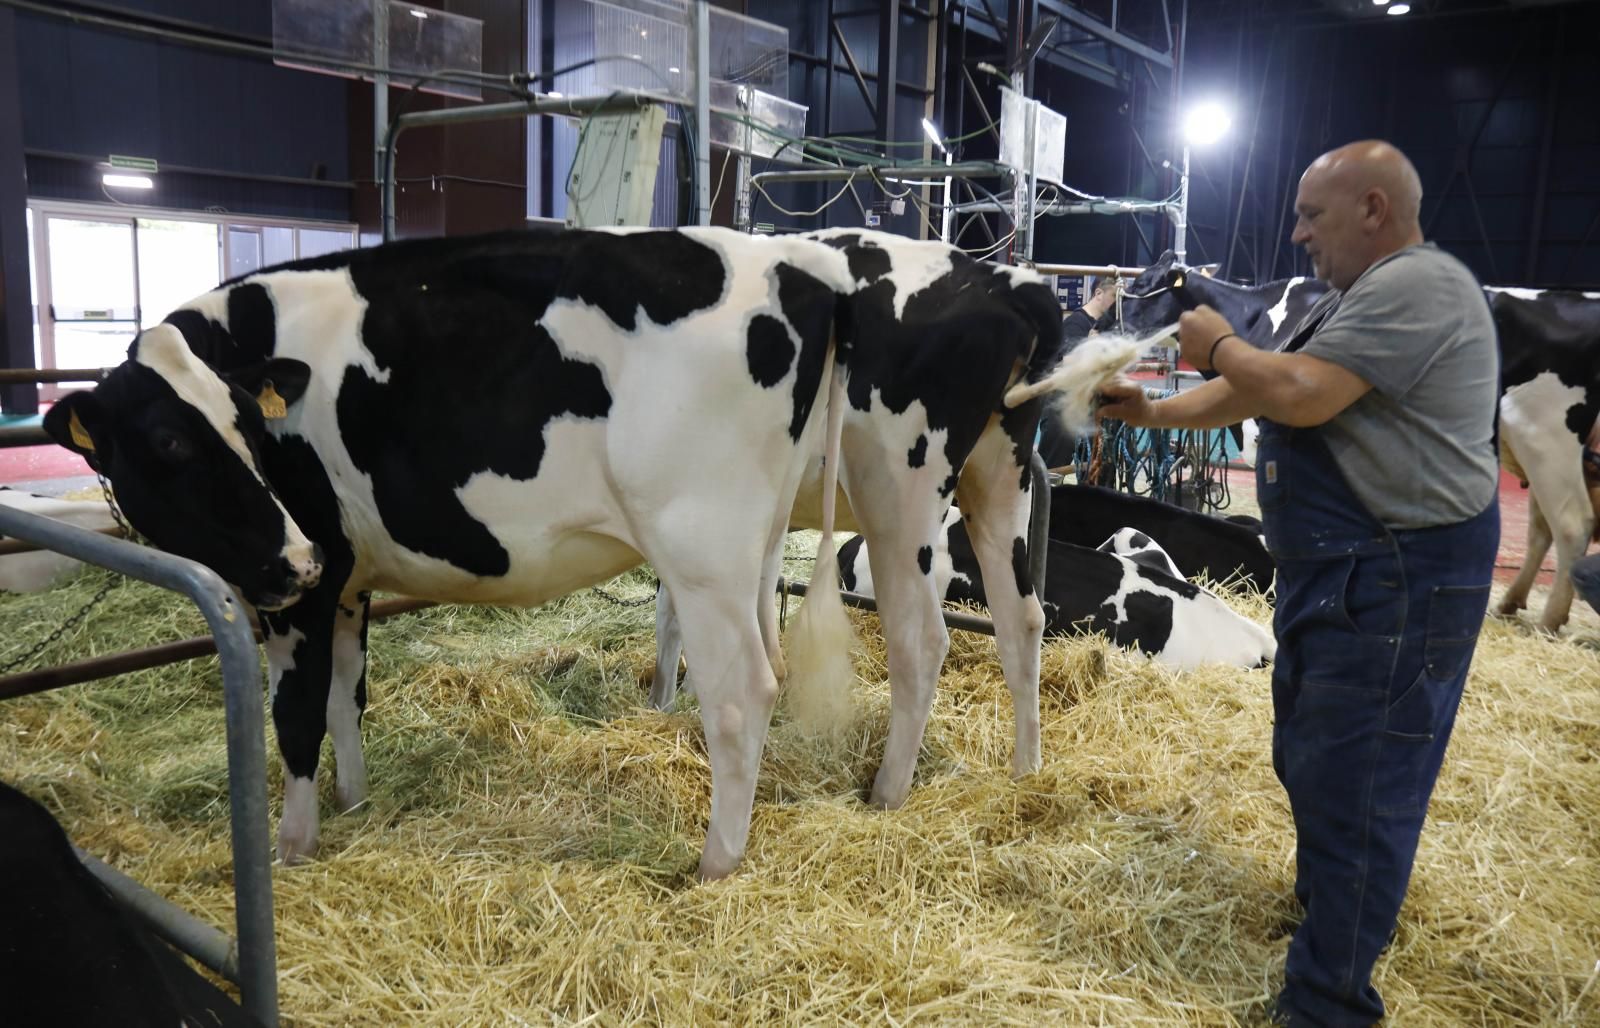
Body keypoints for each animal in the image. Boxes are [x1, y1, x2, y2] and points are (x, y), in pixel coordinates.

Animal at [40, 222, 876, 871]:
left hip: (700, 547)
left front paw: (293, 845)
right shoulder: (348, 579)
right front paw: (355, 802)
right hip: (755, 546)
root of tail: (804, 265)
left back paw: (714, 864)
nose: (293, 560)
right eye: (171, 440)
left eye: (247, 425)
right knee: (769, 665)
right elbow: (347, 696)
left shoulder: (312, 582)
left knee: (740, 697)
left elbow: (299, 715)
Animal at [649, 230, 1075, 807]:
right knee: (1022, 618)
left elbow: (673, 613)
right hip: (1001, 478)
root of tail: (999, 282)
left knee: (921, 640)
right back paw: (1027, 770)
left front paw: (665, 702)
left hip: (900, 497)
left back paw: (886, 793)